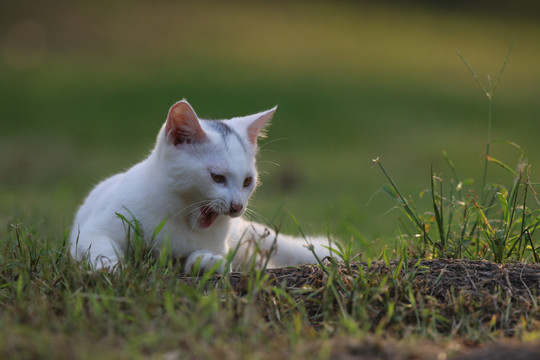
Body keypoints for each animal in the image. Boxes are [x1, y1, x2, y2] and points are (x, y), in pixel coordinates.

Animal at [70, 100, 334, 272]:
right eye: (217, 178)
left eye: (247, 181)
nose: (237, 206)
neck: (179, 216)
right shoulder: (94, 229)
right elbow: (100, 245)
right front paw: (110, 267)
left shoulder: (215, 246)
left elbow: (197, 257)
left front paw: (208, 261)